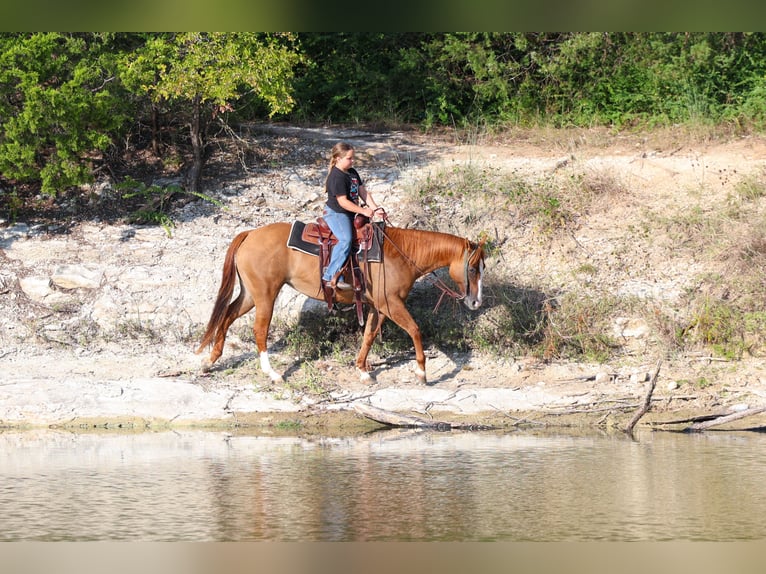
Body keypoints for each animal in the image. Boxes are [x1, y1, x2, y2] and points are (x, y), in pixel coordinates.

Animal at [195, 222, 486, 384]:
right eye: (472, 269)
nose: (476, 302)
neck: (401, 253)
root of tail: (250, 233)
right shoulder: (391, 304)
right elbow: (414, 330)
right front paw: (422, 373)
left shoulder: (377, 307)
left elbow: (369, 336)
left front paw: (363, 370)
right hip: (266, 294)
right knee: (259, 329)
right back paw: (273, 374)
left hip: (250, 294)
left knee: (228, 314)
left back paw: (211, 360)